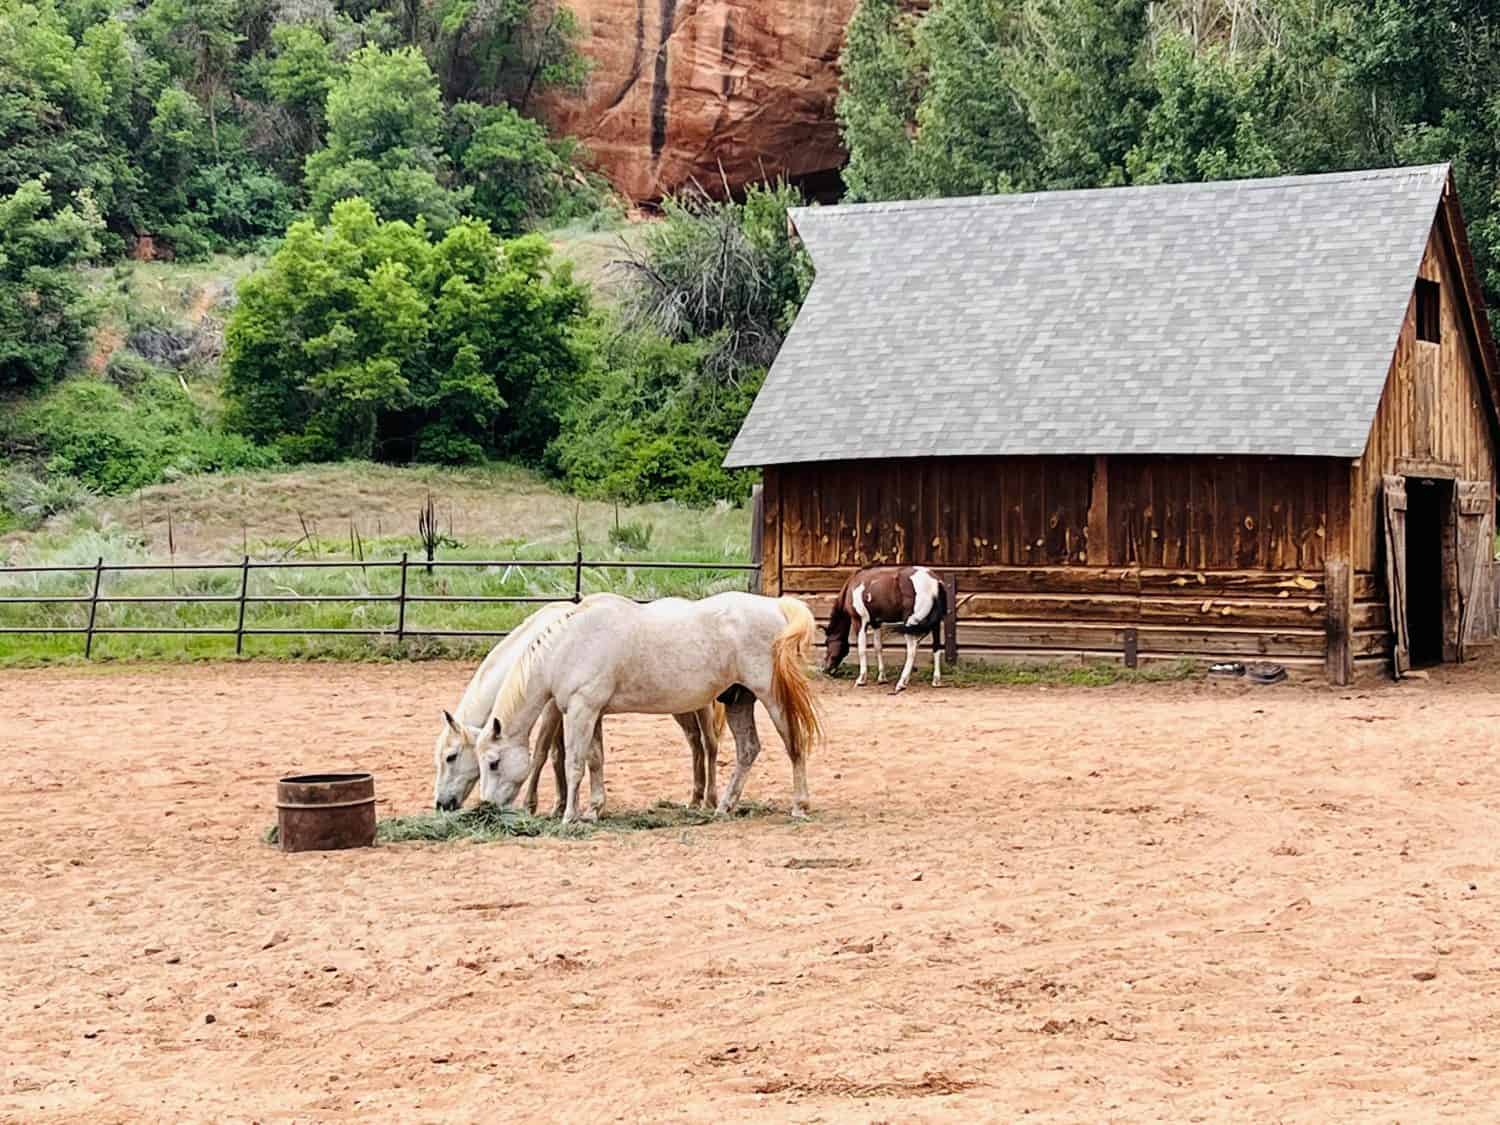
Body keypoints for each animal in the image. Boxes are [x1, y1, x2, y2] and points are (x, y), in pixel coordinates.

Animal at [432, 597, 723, 817]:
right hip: (682, 709)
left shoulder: (555, 708)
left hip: (703, 707)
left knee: (709, 745)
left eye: (451, 757)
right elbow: (568, 755)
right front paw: (562, 806)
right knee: (694, 744)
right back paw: (695, 799)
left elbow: (543, 754)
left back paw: (710, 800)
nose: (441, 804)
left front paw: (534, 806)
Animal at [474, 592, 821, 823]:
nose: (486, 806)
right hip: (739, 700)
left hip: (771, 698)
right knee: (747, 749)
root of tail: (775, 605)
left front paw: (570, 816)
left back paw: (799, 805)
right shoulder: (593, 713)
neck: (568, 645)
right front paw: (594, 809)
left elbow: (574, 763)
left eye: (493, 763)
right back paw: (724, 805)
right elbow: (595, 760)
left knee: (794, 745)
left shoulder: (581, 711)